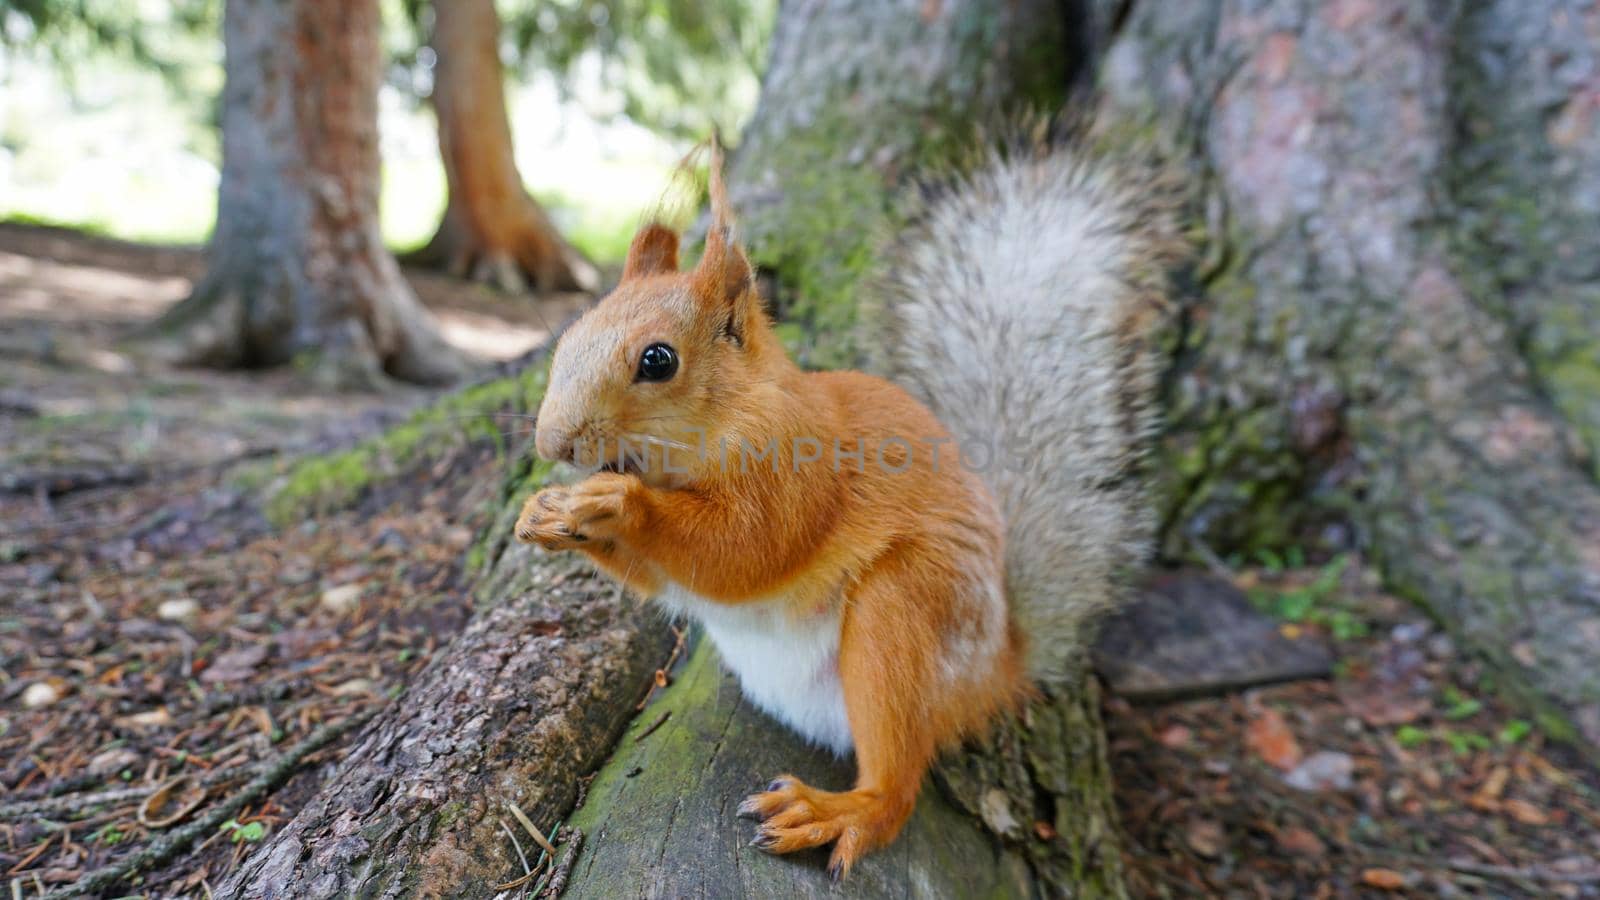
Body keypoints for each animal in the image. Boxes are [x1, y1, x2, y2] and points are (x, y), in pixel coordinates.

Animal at [518, 132, 1184, 877]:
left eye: (658, 361)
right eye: (569, 335)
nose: (552, 441)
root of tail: (996, 672)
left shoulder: (796, 468)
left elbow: (743, 550)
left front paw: (619, 503)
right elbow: (666, 577)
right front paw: (543, 513)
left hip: (906, 616)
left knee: (898, 785)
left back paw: (838, 811)